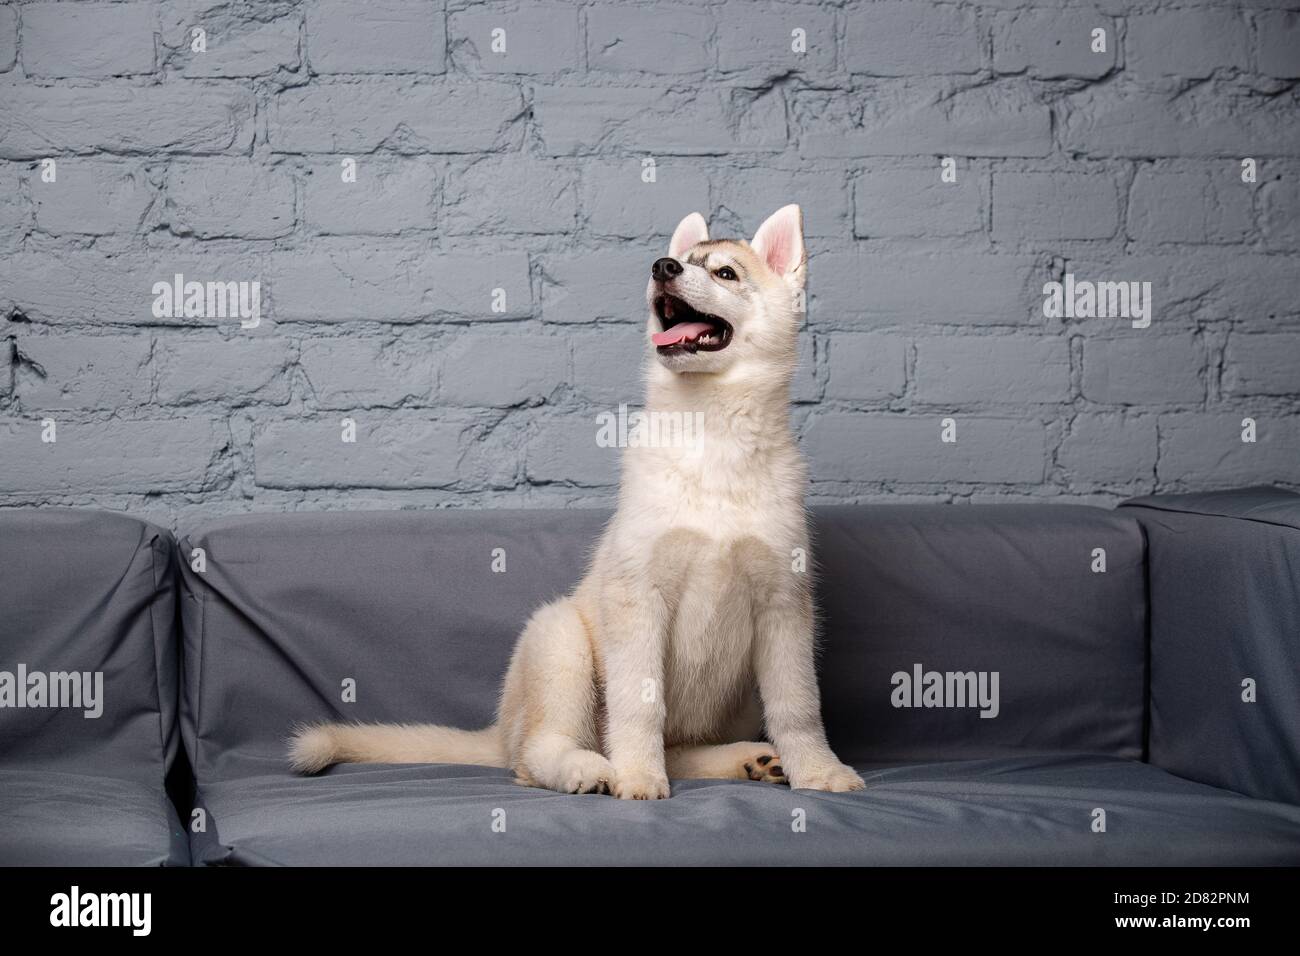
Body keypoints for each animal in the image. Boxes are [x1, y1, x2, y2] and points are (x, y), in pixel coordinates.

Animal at [289, 205, 868, 796]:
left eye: (725, 273)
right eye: (680, 260)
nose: (662, 266)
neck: (711, 432)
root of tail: (500, 734)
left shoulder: (785, 605)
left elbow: (798, 706)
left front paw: (817, 770)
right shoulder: (637, 597)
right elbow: (639, 705)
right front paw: (637, 776)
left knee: (679, 749)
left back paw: (750, 759)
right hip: (559, 639)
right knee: (538, 753)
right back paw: (588, 768)